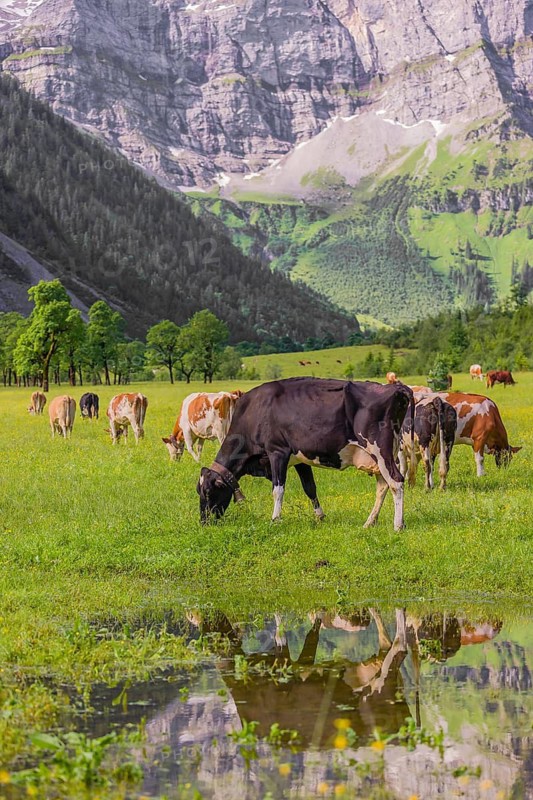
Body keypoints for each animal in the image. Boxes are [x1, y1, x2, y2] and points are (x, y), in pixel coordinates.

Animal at [197, 378, 414, 531]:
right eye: (198, 491)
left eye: (207, 491)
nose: (204, 522)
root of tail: (395, 389)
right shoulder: (300, 459)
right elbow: (310, 488)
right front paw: (320, 516)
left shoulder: (277, 452)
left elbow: (278, 490)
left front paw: (275, 519)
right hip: (382, 455)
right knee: (383, 486)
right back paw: (369, 522)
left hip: (380, 450)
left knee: (396, 482)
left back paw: (398, 525)